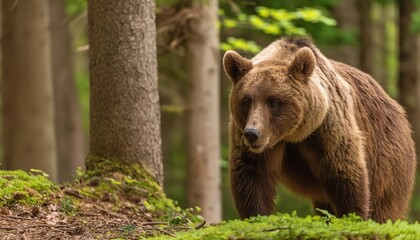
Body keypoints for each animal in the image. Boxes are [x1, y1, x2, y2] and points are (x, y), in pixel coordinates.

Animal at [223, 37, 416, 223]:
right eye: (247, 100)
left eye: (273, 101)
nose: (252, 133)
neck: (293, 134)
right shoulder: (246, 135)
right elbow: (253, 176)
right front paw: (257, 217)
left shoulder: (328, 126)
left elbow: (345, 172)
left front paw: (353, 216)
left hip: (388, 161)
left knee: (385, 205)